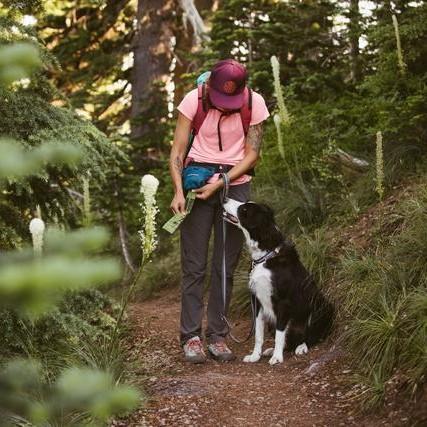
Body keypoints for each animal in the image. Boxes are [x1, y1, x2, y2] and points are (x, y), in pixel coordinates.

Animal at [222, 200, 336, 364]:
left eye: (244, 209)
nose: (224, 199)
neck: (265, 255)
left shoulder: (283, 302)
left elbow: (279, 334)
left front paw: (277, 357)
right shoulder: (257, 300)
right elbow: (258, 334)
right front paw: (255, 356)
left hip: (322, 306)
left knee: (311, 335)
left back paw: (301, 347)